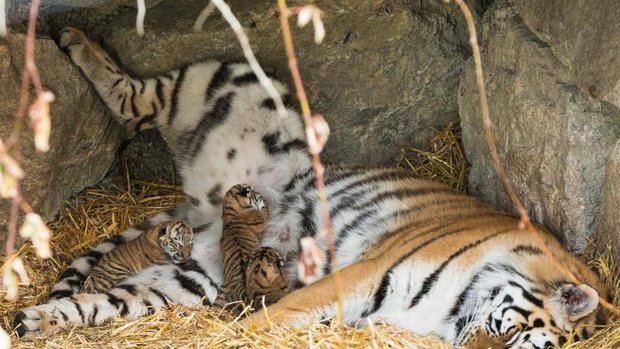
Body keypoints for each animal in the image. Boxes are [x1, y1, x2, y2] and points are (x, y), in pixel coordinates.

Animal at [12, 27, 612, 348]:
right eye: (510, 336)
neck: (450, 315)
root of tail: (205, 203)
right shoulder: (366, 271)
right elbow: (279, 315)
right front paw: (243, 333)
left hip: (186, 275)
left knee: (103, 301)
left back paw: (36, 319)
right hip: (228, 88)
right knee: (132, 100)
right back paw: (72, 41)